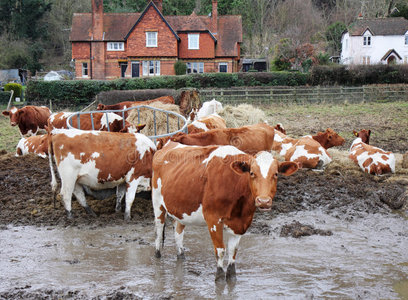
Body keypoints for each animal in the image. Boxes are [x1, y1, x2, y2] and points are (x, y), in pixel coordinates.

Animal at [151, 141, 298, 282]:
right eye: (251, 173)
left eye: (276, 174)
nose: (263, 201)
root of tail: (168, 144)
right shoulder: (213, 219)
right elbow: (221, 250)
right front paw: (220, 277)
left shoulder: (241, 223)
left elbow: (233, 250)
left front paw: (232, 277)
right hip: (157, 202)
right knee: (158, 229)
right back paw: (157, 255)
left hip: (180, 208)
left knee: (178, 232)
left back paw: (181, 256)